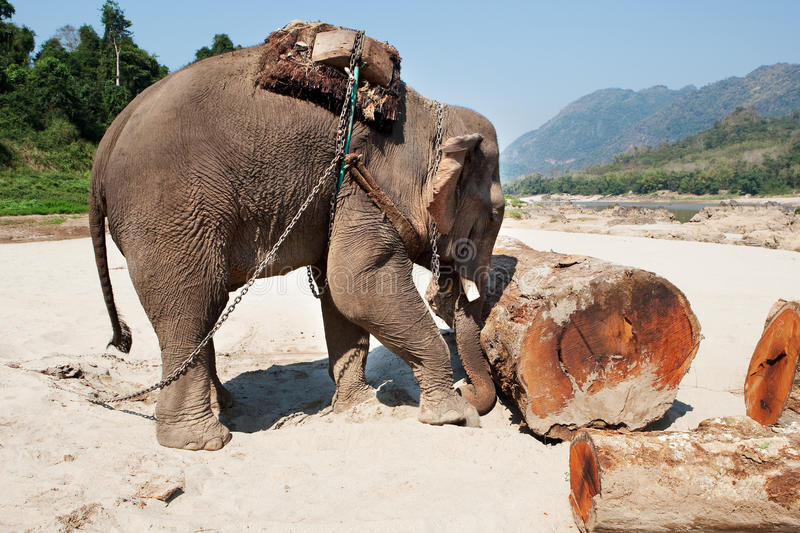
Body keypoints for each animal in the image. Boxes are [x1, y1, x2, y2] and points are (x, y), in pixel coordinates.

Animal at [90, 32, 504, 448]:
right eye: (496, 213)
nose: (467, 389)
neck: (428, 115)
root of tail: (108, 140)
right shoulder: (365, 179)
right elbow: (360, 285)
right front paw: (455, 417)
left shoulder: (342, 195)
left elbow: (339, 295)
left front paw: (356, 407)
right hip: (171, 211)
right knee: (192, 303)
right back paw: (203, 440)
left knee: (204, 308)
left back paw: (226, 404)